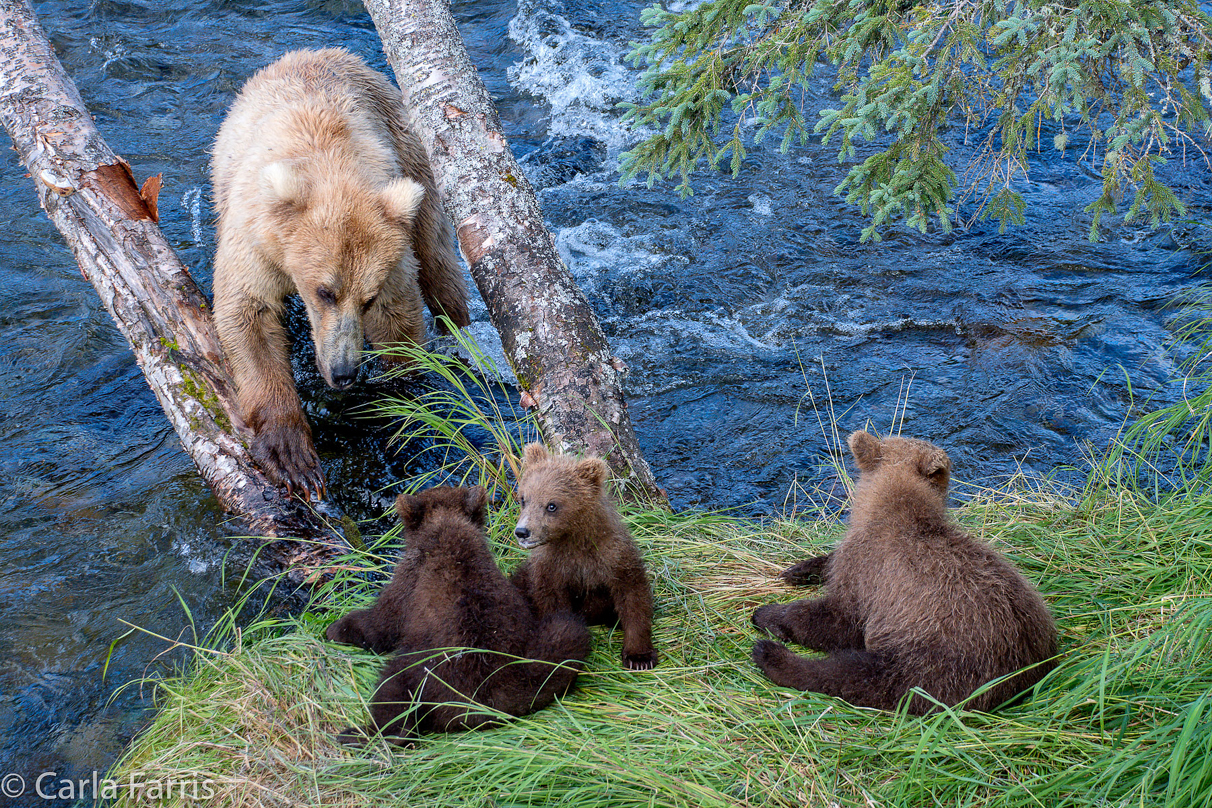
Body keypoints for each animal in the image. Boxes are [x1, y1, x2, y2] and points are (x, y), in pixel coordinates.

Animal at [213, 50, 467, 496]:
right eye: (324, 291)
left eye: (367, 299)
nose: (345, 372)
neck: (330, 166)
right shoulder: (257, 237)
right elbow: (249, 313)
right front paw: (291, 454)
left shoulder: (392, 256)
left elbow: (398, 320)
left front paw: (401, 400)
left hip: (414, 167)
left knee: (437, 259)